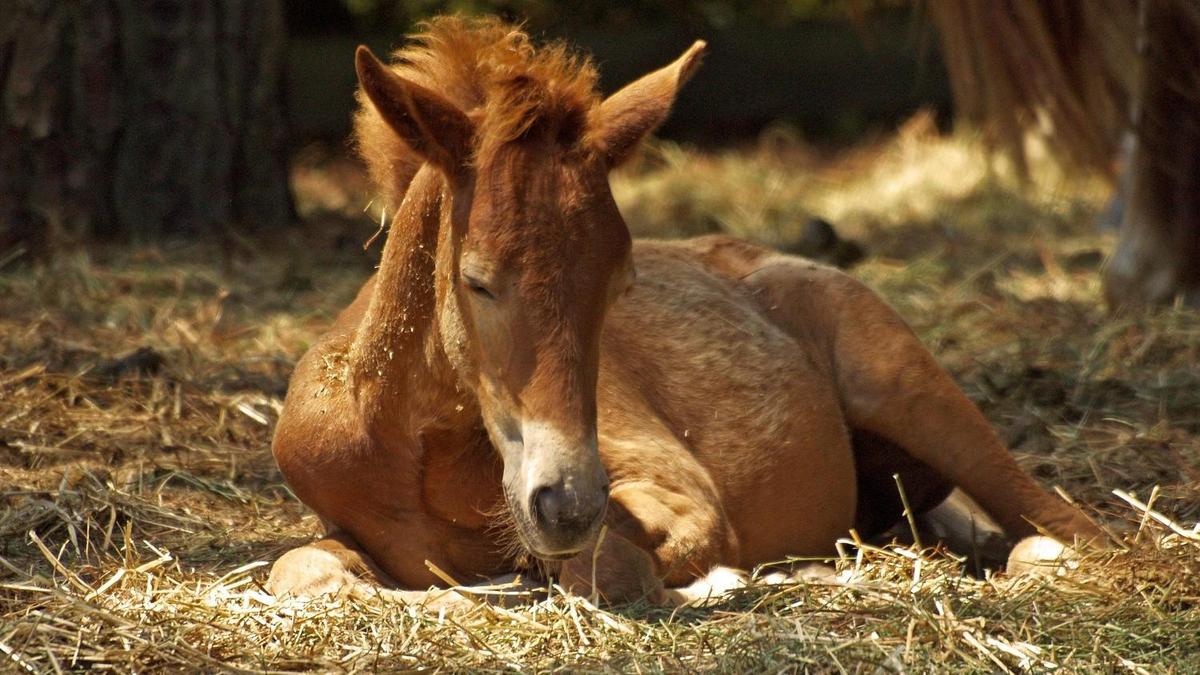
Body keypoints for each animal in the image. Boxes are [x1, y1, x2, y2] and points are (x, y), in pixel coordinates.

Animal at [267, 15, 1108, 607]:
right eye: (476, 280)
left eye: (620, 280)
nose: (566, 503)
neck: (415, 452)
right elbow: (301, 570)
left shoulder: (677, 491)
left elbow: (611, 568)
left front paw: (721, 580)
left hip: (910, 389)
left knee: (1071, 527)